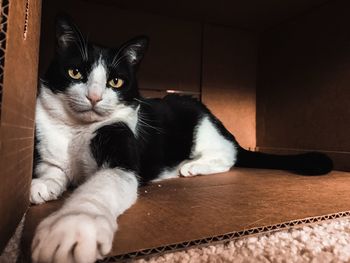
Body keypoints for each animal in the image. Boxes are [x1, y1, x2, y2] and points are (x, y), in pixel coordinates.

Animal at [30, 14, 334, 263]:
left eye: (115, 82)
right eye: (75, 72)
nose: (94, 97)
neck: (76, 130)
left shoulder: (122, 155)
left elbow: (100, 186)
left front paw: (73, 226)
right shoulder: (47, 144)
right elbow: (53, 169)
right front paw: (41, 185)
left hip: (200, 127)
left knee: (230, 154)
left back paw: (190, 167)